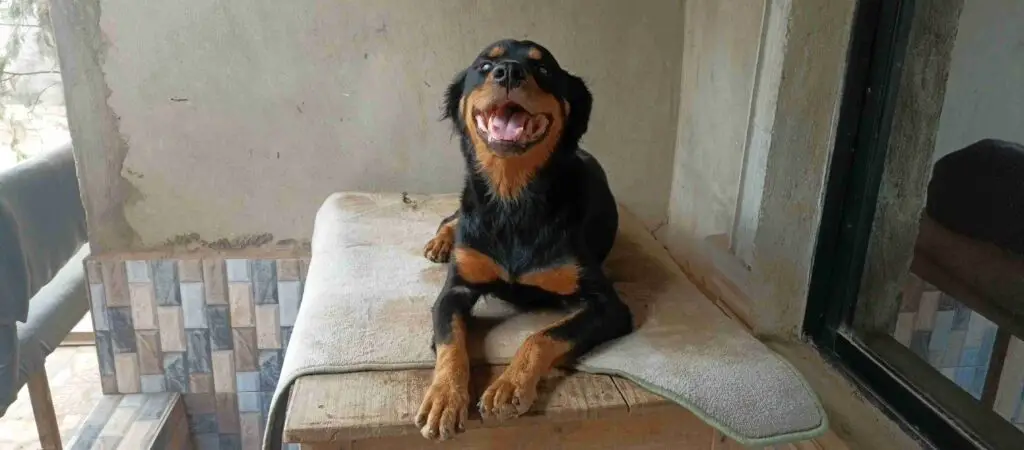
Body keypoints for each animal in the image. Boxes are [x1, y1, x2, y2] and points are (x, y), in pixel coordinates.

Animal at [415, 38, 630, 440]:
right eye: (485, 66)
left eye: (542, 69)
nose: (509, 72)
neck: (512, 200)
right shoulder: (455, 290)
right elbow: (451, 343)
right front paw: (444, 397)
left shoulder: (610, 305)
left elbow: (544, 335)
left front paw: (509, 386)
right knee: (452, 216)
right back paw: (441, 242)